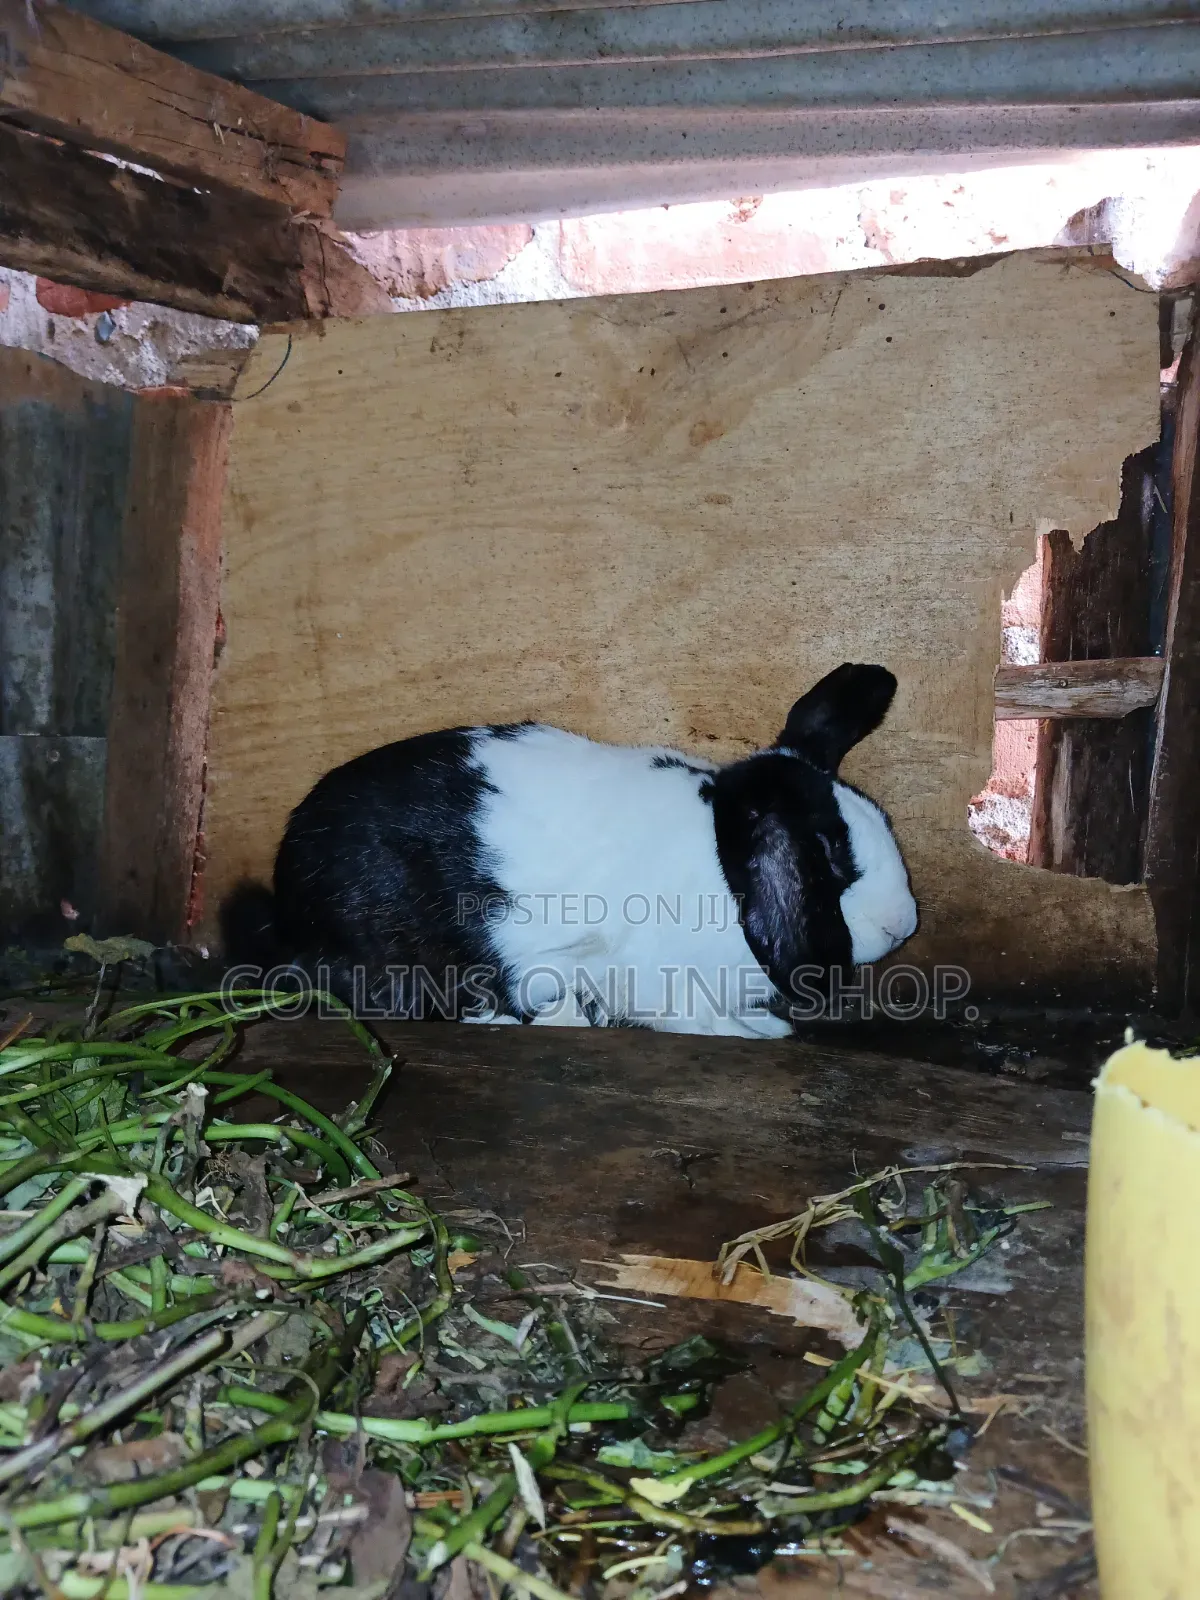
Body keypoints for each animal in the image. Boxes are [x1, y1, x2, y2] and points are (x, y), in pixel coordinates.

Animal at [220, 663, 918, 1037]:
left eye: (879, 817)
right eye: (829, 850)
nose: (903, 924)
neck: (722, 868)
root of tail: (289, 908)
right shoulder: (662, 983)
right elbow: (700, 1019)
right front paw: (764, 1032)